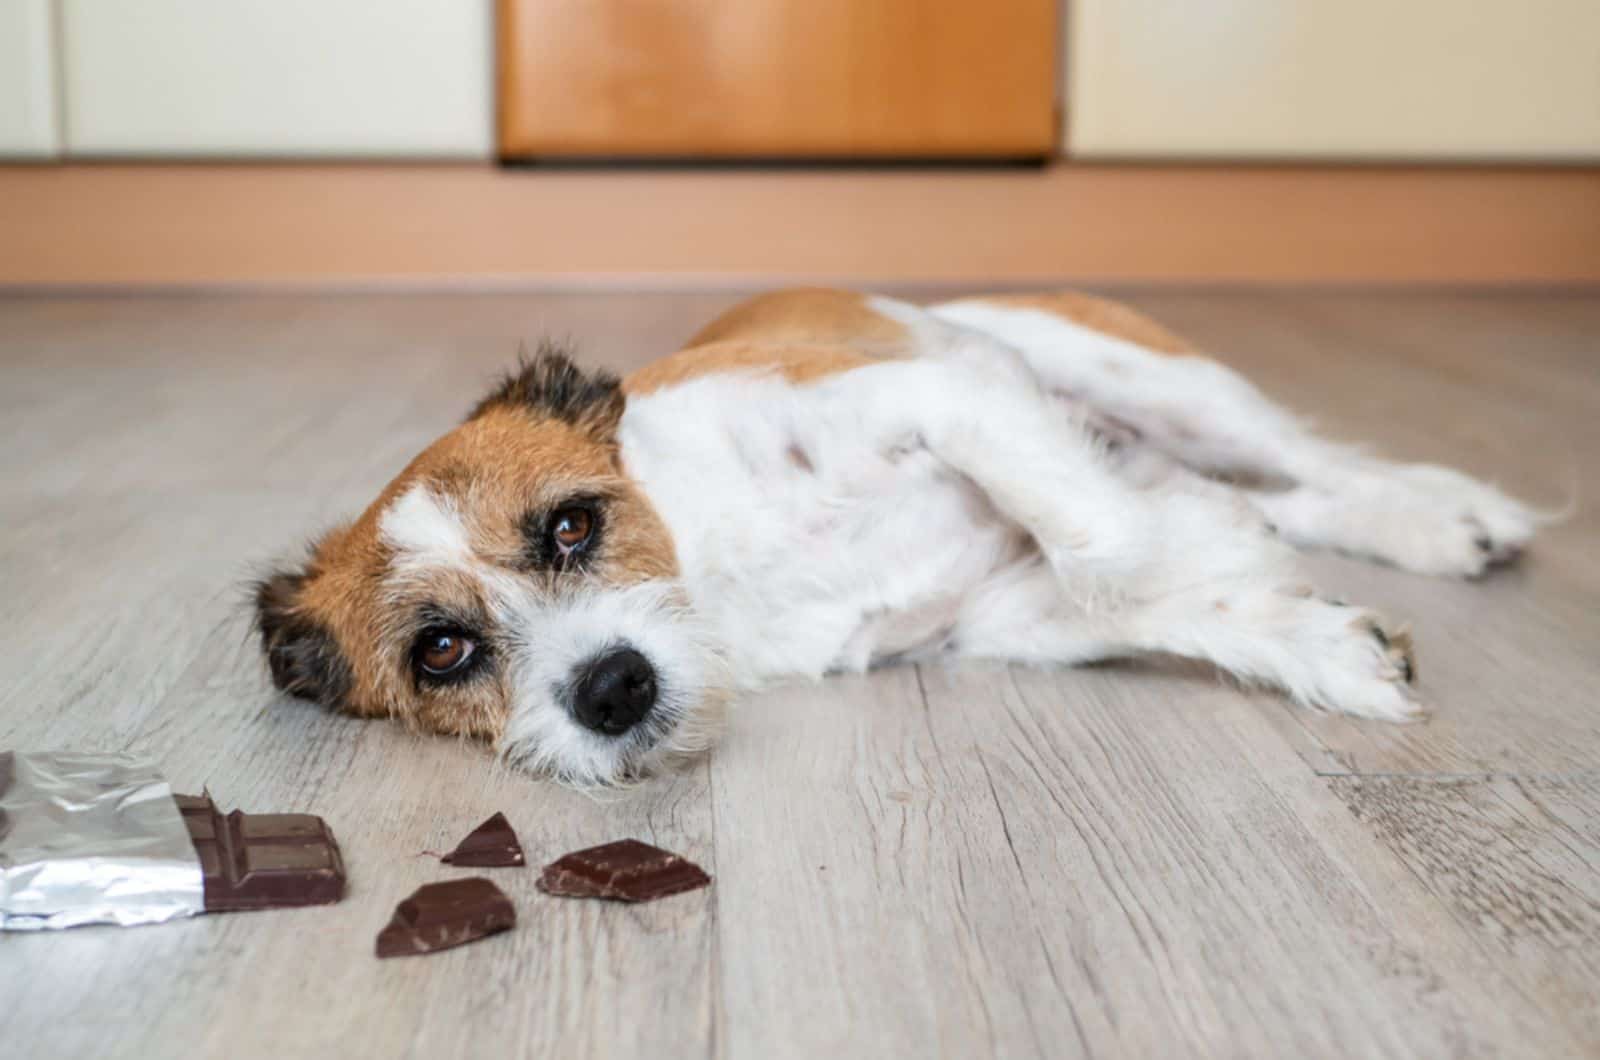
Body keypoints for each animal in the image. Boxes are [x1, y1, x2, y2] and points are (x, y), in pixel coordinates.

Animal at [252, 291, 1536, 787]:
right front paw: (1312, 638)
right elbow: (1134, 587)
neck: (718, 561)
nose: (612, 687)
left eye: (572, 525)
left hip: (1152, 380)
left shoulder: (943, 395)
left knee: (1311, 463)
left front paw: (1203, 549)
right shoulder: (1000, 614)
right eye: (443, 652)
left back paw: (1451, 513)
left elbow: (1105, 543)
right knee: (1286, 492)